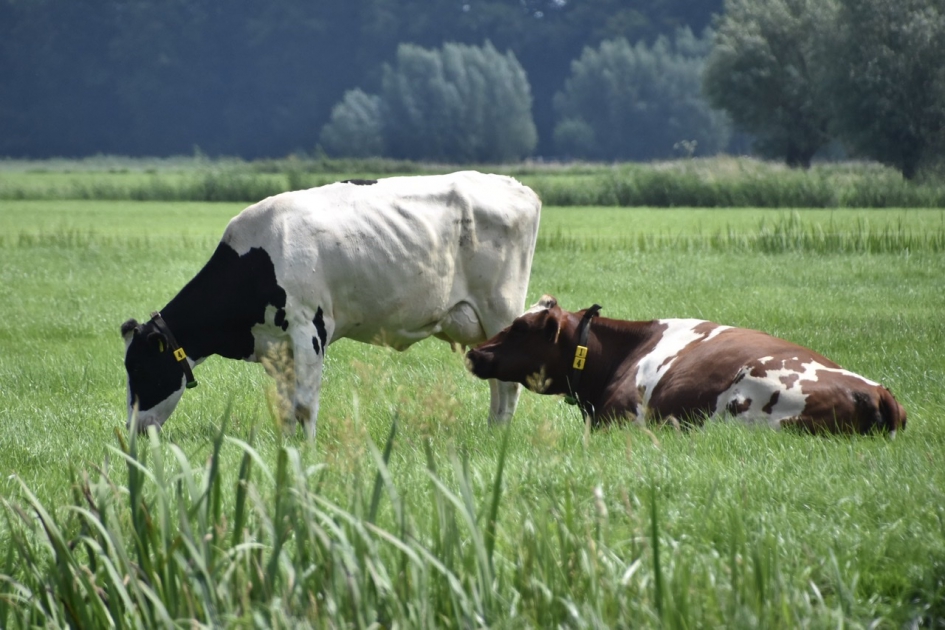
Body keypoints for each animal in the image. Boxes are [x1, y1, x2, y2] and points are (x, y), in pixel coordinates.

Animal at [121, 171, 542, 439]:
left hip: (500, 309)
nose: (132, 431)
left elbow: (305, 404)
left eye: (140, 368)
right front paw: (287, 447)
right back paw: (492, 431)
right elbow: (286, 405)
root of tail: (517, 186)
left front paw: (306, 452)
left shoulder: (309, 328)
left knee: (507, 382)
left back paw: (499, 436)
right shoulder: (277, 346)